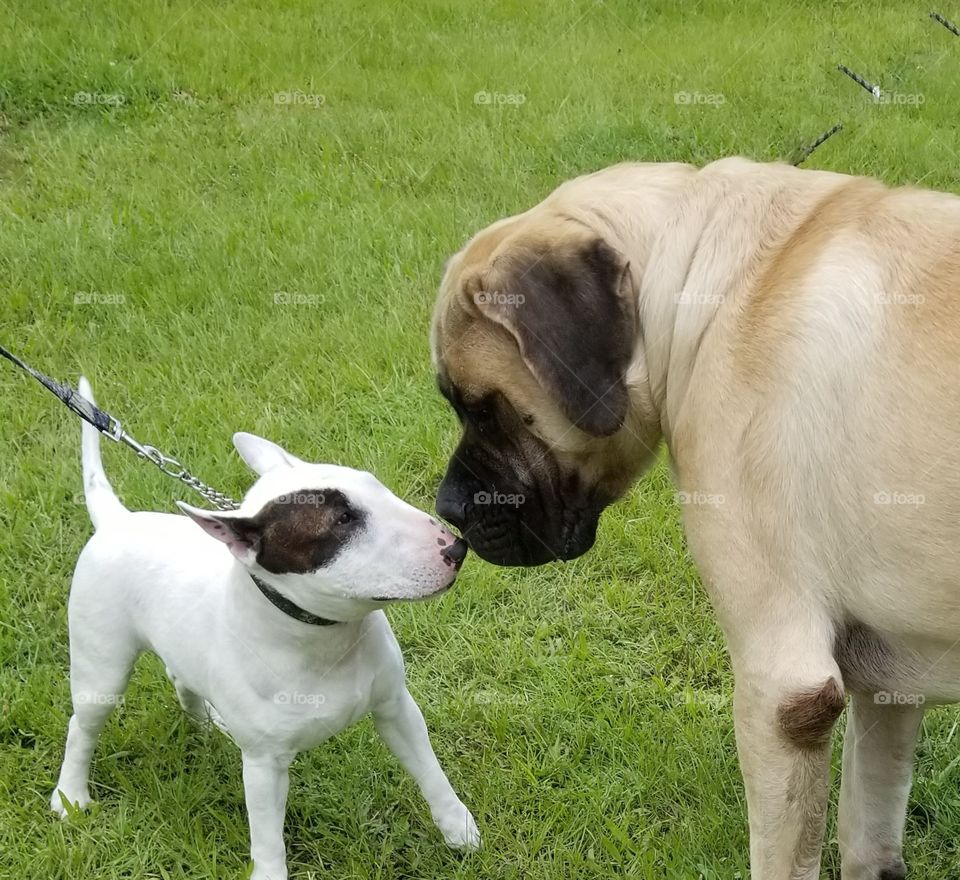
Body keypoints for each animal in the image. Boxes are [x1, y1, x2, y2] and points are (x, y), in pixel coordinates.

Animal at [50, 378, 478, 880]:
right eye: (342, 521)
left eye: (377, 487)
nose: (456, 547)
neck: (323, 637)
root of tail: (117, 521)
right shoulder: (264, 765)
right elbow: (268, 834)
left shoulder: (395, 708)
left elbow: (431, 772)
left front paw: (459, 829)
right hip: (102, 667)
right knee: (82, 725)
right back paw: (70, 796)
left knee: (182, 677)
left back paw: (206, 724)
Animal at [432, 160, 960, 880]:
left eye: (484, 410)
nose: (447, 507)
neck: (703, 287)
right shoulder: (886, 689)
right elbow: (867, 836)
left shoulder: (782, 691)